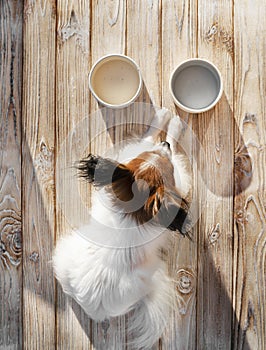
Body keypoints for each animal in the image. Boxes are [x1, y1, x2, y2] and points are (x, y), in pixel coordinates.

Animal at [53, 108, 191, 348]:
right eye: (168, 166)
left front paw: (168, 127)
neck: (134, 212)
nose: (164, 145)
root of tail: (96, 309)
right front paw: (169, 123)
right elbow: (151, 139)